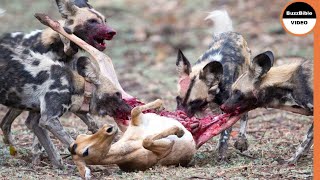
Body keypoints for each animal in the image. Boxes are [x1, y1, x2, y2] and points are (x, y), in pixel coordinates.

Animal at [0, 0, 119, 167]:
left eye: (105, 21)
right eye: (92, 21)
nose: (112, 32)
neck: (61, 48)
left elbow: (90, 121)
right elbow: (39, 131)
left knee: (5, 123)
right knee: (8, 123)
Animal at [176, 10, 251, 159]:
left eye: (193, 102)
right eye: (177, 99)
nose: (180, 117)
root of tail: (231, 33)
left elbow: (225, 134)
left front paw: (222, 153)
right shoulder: (203, 109)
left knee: (244, 116)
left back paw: (241, 141)